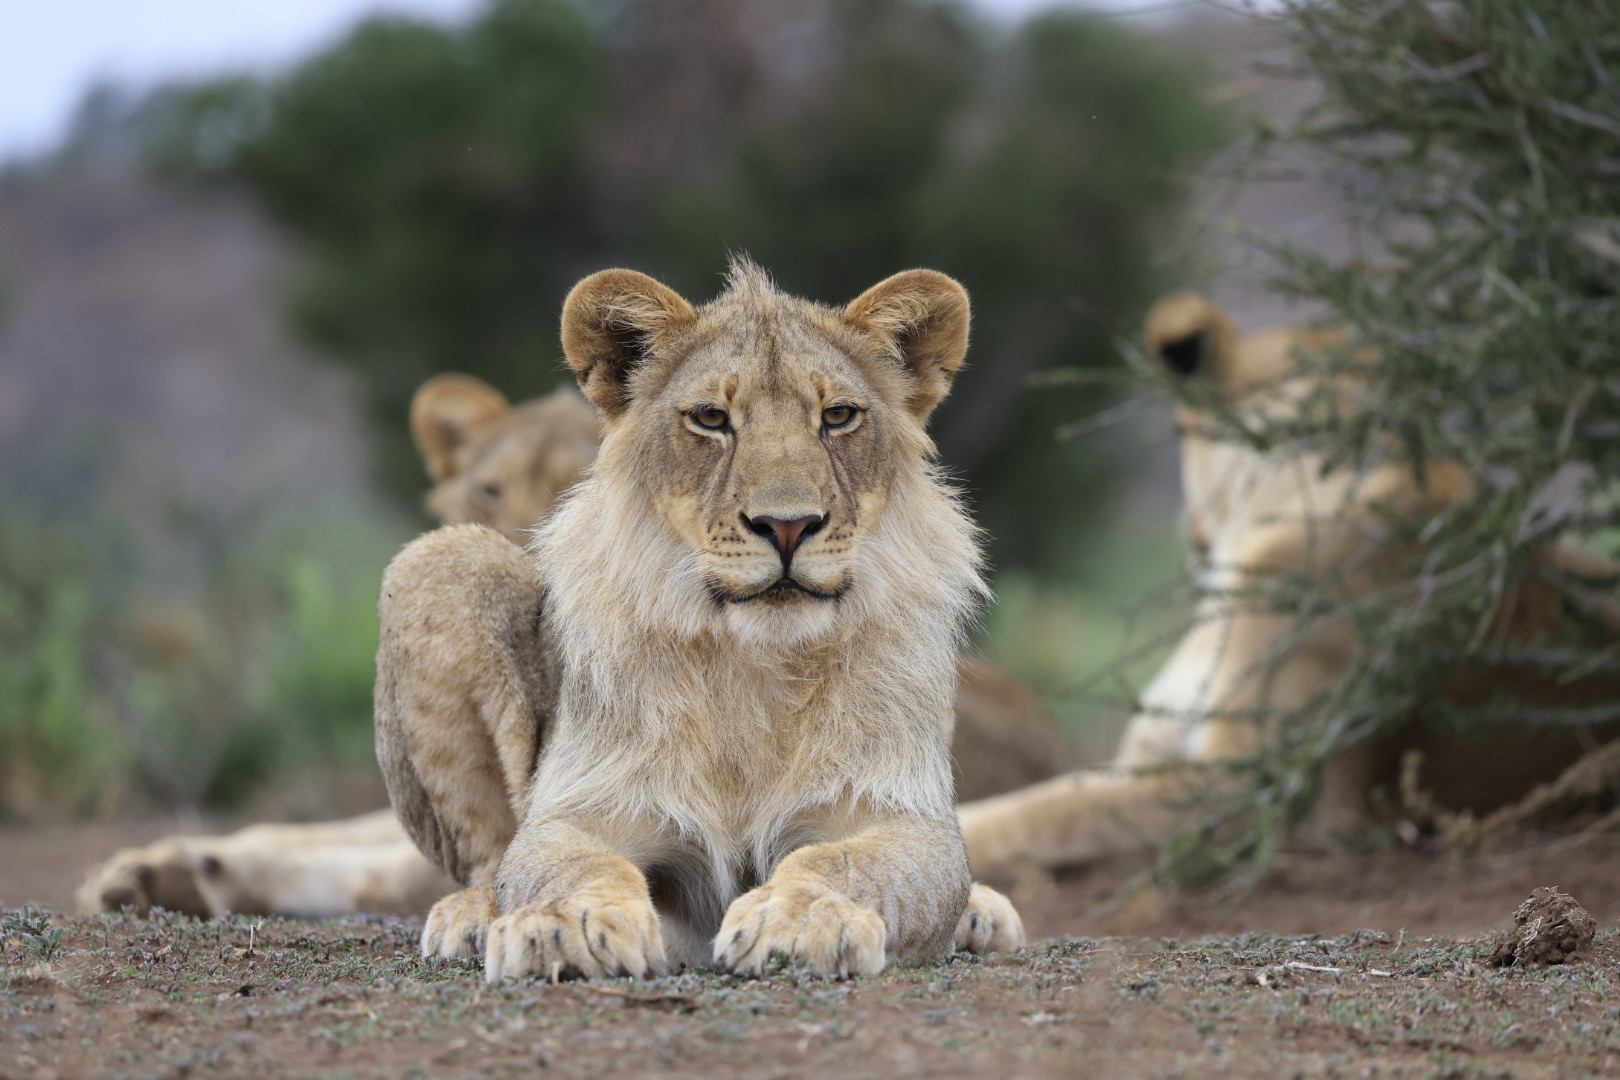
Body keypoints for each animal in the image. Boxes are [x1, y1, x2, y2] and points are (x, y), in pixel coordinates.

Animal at [377, 260, 1022, 979]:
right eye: (712, 418)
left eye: (838, 416)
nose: (788, 525)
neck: (757, 661)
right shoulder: (580, 809)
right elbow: (571, 865)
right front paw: (566, 924)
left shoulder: (903, 816)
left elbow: (839, 861)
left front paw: (800, 919)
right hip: (440, 559)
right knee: (488, 854)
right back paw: (472, 915)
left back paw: (980, 912)